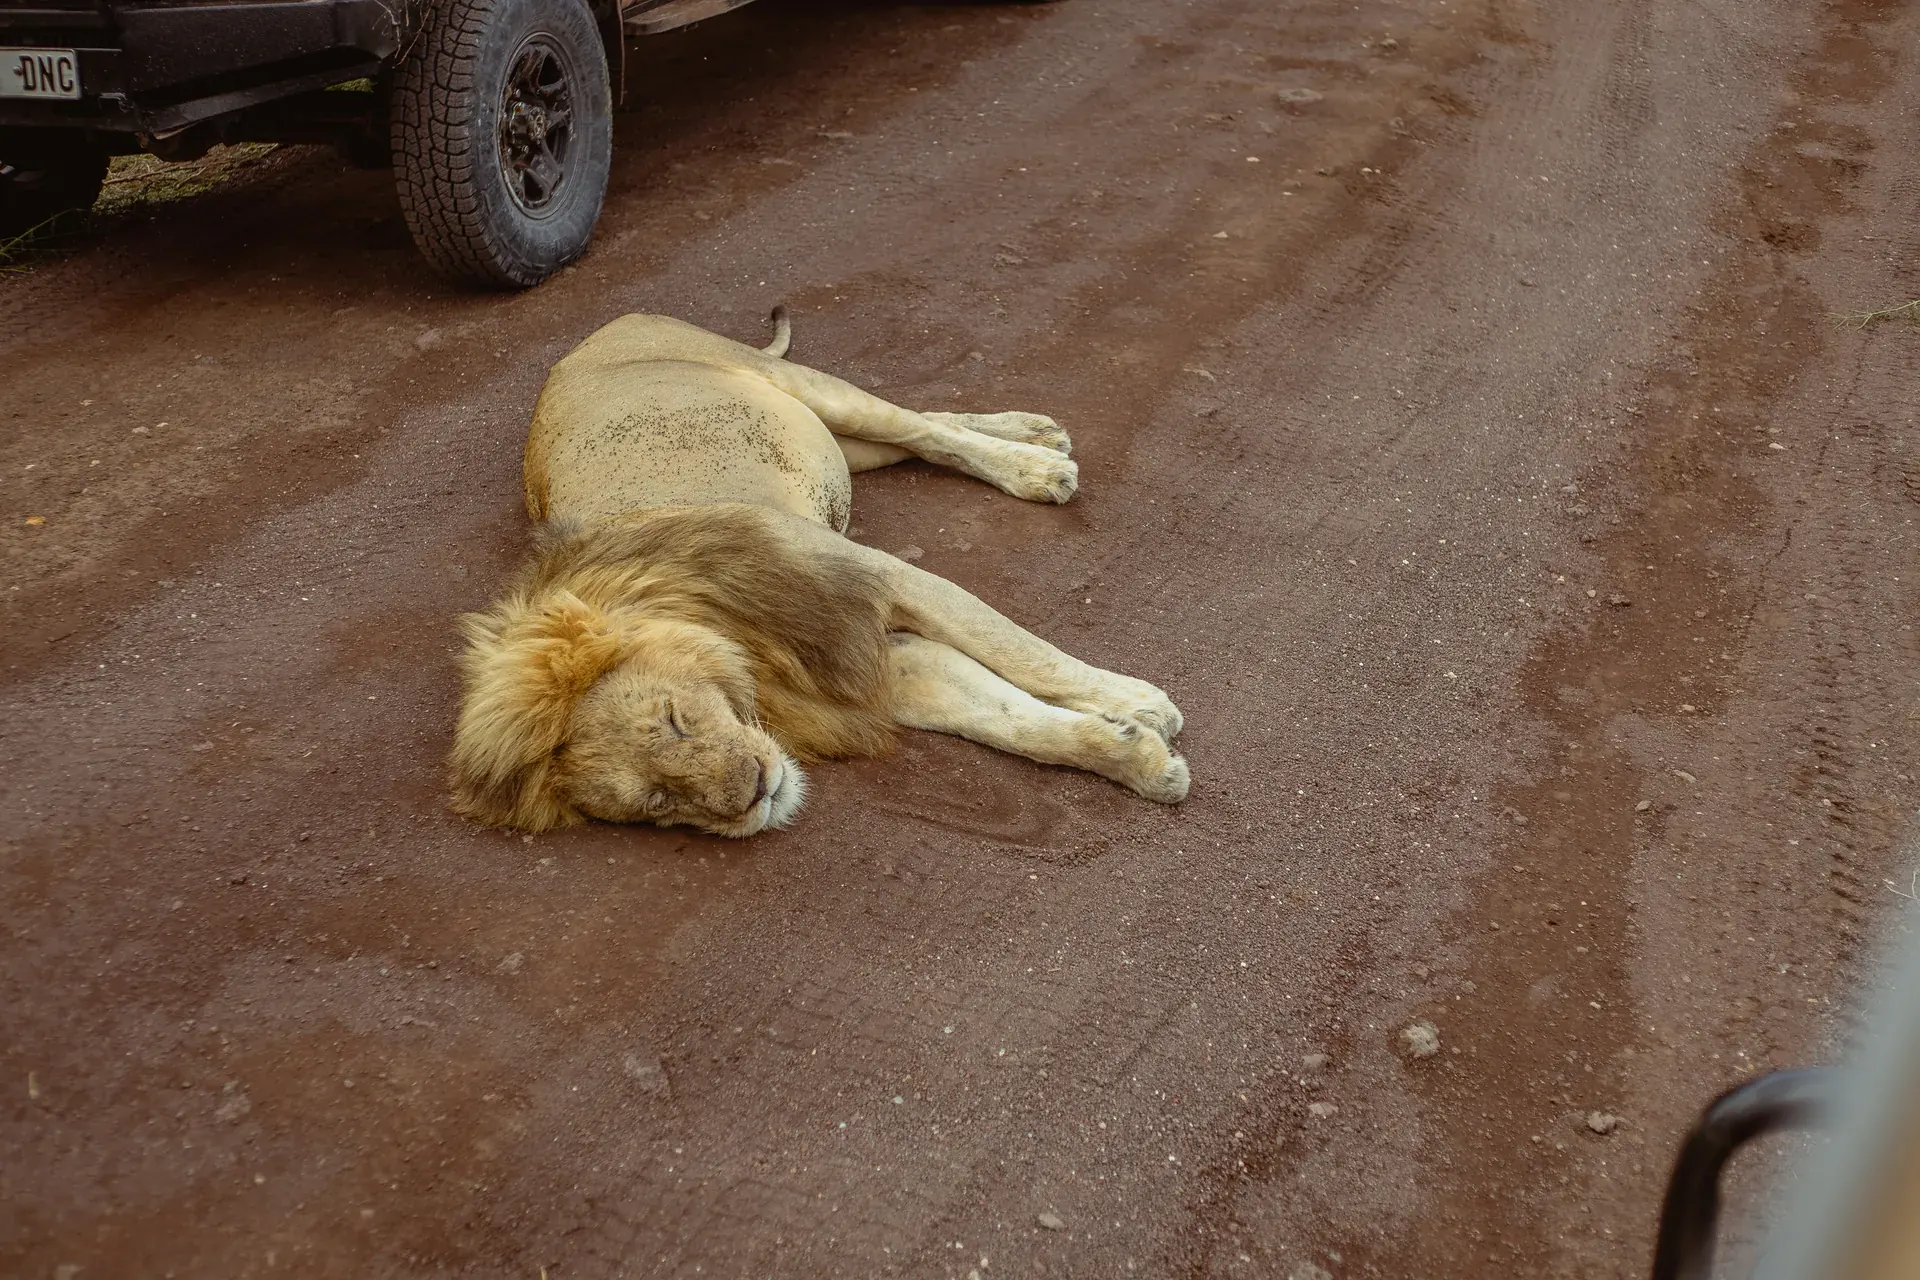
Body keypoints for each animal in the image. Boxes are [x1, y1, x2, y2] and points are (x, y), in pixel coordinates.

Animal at [448, 308, 1189, 837]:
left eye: (675, 721)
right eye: (658, 802)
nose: (754, 794)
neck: (742, 648)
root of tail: (590, 336)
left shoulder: (878, 580)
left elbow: (1025, 652)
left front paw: (1137, 702)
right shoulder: (883, 666)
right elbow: (1012, 722)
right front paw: (1139, 758)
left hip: (808, 389)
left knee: (920, 427)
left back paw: (1035, 464)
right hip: (837, 443)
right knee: (923, 435)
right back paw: (1034, 437)